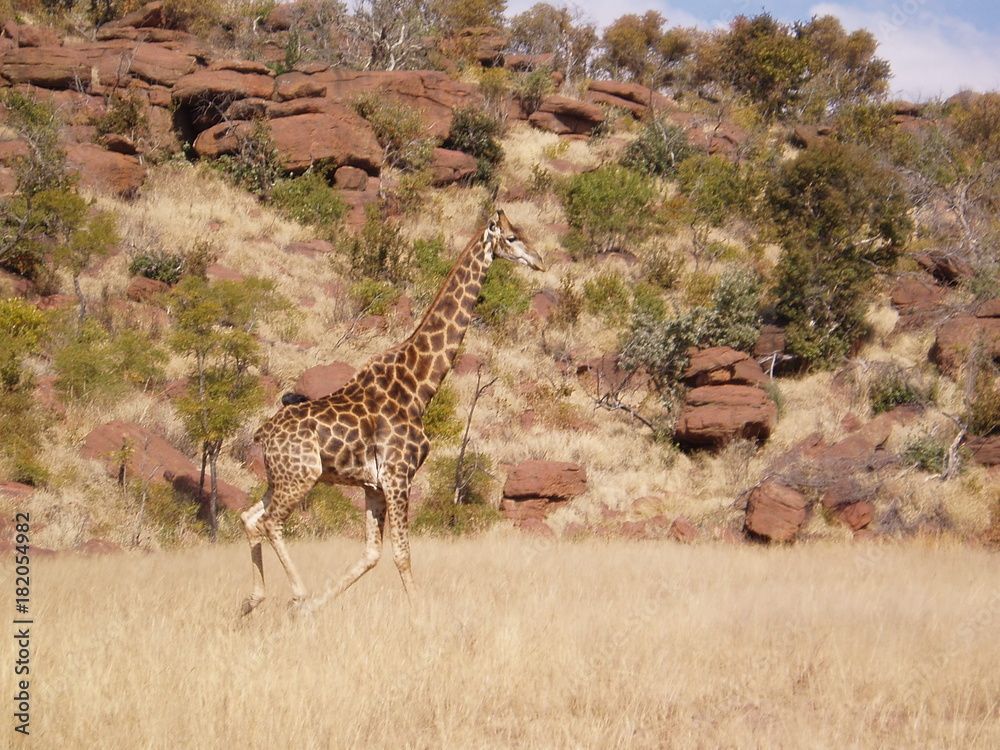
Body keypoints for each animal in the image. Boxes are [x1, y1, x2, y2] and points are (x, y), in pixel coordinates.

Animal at [240, 209, 545, 615]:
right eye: (511, 238)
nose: (539, 261)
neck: (419, 387)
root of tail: (262, 434)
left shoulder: (372, 484)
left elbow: (371, 553)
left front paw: (316, 608)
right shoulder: (399, 474)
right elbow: (402, 553)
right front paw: (419, 613)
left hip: (281, 479)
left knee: (249, 517)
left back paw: (252, 601)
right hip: (302, 477)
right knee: (269, 523)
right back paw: (296, 594)